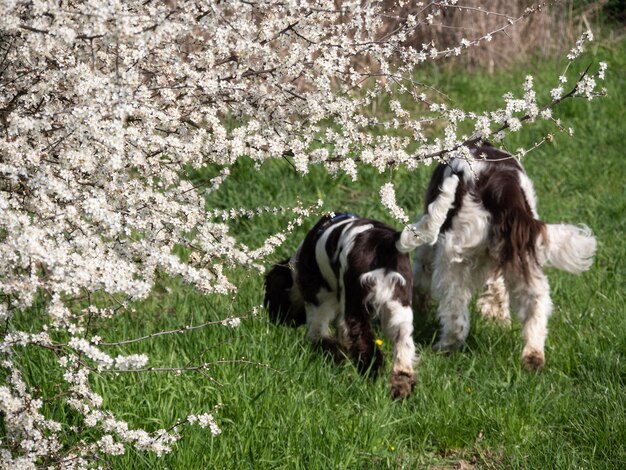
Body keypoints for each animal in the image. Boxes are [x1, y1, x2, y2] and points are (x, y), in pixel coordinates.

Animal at [402, 141, 596, 370]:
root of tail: (502, 187)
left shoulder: (430, 240)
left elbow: (421, 277)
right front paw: (498, 322)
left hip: (452, 255)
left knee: (455, 311)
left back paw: (445, 346)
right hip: (524, 254)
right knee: (536, 304)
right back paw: (533, 357)